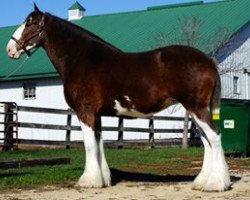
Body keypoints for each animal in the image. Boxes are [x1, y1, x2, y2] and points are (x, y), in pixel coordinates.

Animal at [6, 3, 231, 192]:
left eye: (30, 23)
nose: (10, 49)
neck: (81, 59)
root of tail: (208, 62)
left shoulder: (85, 112)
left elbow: (89, 145)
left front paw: (88, 181)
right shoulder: (96, 115)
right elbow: (99, 143)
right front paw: (103, 179)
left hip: (197, 108)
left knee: (214, 136)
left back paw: (216, 184)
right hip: (196, 109)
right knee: (206, 140)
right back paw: (202, 182)